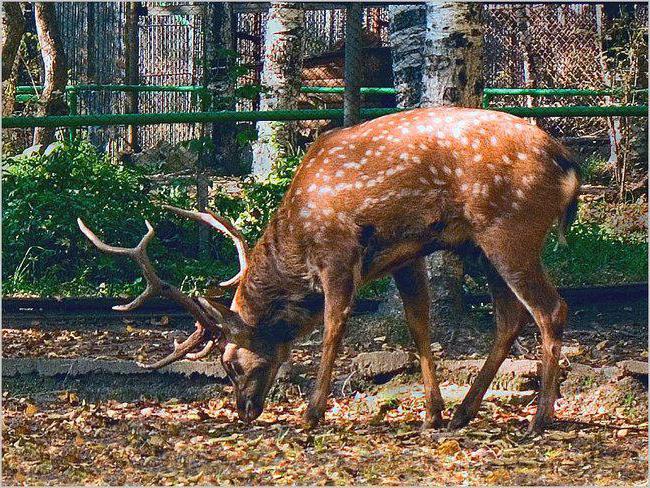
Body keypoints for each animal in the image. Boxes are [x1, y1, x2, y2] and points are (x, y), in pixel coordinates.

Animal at [78, 107, 580, 434]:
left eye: (230, 363)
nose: (244, 411)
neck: (298, 241)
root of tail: (569, 166)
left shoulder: (338, 253)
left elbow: (333, 327)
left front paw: (312, 412)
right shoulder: (408, 253)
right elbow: (418, 323)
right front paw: (432, 413)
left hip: (510, 230)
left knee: (551, 309)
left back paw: (540, 418)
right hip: (480, 246)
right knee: (510, 318)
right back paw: (464, 413)